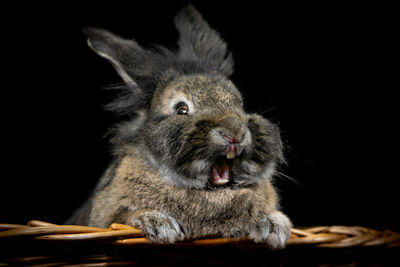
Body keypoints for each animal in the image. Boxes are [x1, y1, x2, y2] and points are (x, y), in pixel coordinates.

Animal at [65, 4, 292, 250]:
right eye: (181, 109)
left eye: (239, 104)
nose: (235, 134)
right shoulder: (106, 217)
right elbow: (123, 218)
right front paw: (158, 225)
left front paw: (277, 226)